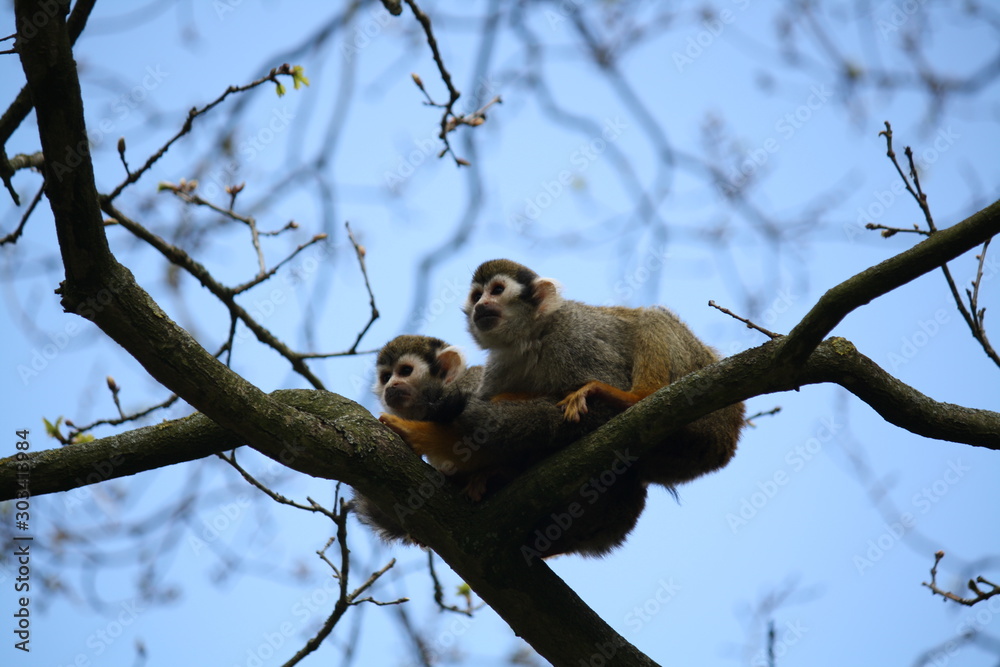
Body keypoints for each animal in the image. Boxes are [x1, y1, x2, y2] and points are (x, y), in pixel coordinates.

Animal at [466, 260, 744, 490]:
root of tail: (731, 432)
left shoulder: (572, 340)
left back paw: (636, 397)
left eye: (497, 290)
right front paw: (496, 469)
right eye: (477, 295)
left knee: (652, 318)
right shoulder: (499, 366)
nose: (480, 306)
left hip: (701, 383)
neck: (530, 339)